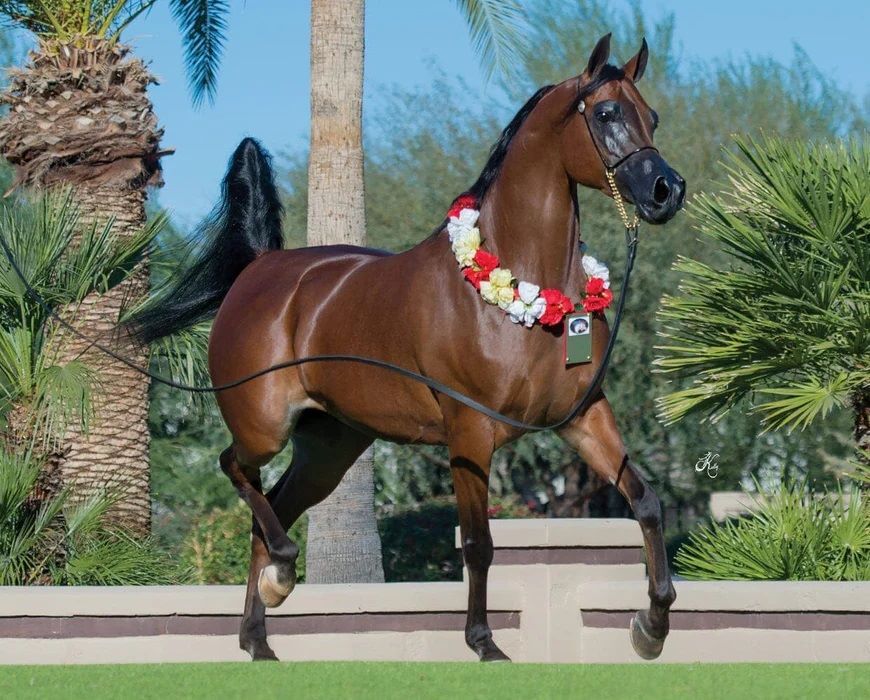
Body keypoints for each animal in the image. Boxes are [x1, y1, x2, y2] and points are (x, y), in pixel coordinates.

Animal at [130, 33, 686, 663]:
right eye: (608, 113)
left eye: (652, 116)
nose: (667, 191)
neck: (520, 289)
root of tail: (260, 269)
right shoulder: (470, 432)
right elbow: (478, 543)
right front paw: (485, 644)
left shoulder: (583, 417)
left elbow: (646, 501)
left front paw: (651, 626)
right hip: (263, 425)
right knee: (236, 472)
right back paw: (282, 575)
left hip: (329, 449)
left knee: (270, 511)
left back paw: (260, 636)